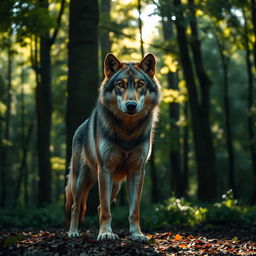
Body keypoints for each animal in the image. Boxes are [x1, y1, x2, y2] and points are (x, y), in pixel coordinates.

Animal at [65, 52, 160, 242]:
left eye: (140, 84)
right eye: (120, 84)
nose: (131, 105)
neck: (127, 131)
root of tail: (81, 126)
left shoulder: (137, 170)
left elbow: (134, 210)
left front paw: (137, 234)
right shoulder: (105, 169)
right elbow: (106, 211)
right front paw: (105, 234)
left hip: (115, 186)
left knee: (100, 206)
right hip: (81, 181)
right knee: (76, 207)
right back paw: (73, 232)